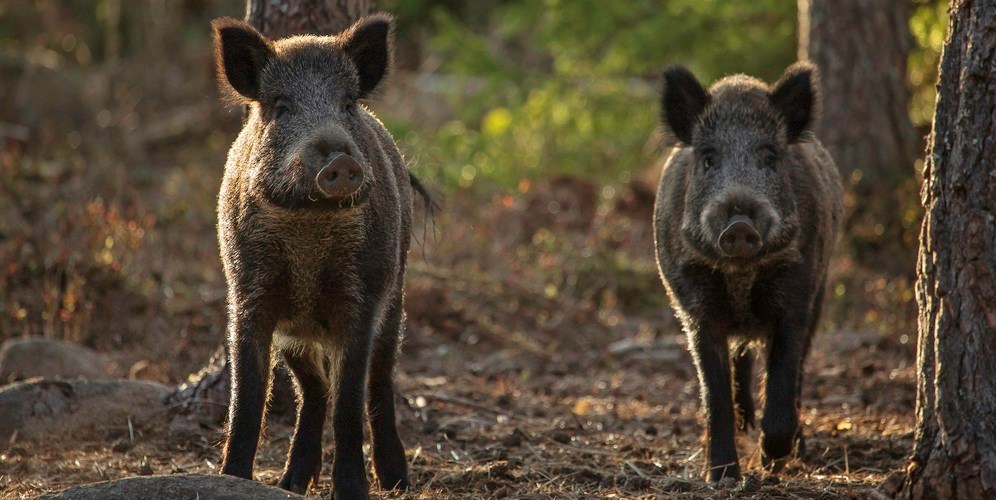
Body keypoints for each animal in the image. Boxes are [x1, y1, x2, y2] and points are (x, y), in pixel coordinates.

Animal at [211, 14, 431, 499]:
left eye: (347, 103)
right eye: (281, 106)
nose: (340, 161)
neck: (309, 227)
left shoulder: (361, 300)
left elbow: (349, 401)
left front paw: (351, 491)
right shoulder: (249, 297)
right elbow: (247, 400)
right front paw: (231, 479)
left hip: (397, 295)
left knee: (378, 382)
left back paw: (396, 481)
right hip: (295, 335)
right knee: (313, 390)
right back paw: (294, 482)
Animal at [653, 62, 843, 481]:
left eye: (769, 158)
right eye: (709, 159)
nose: (739, 224)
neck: (741, 275)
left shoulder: (797, 293)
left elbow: (783, 376)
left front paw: (772, 459)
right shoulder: (696, 306)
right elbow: (715, 393)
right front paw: (723, 474)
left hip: (821, 294)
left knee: (798, 373)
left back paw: (793, 450)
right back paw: (745, 427)